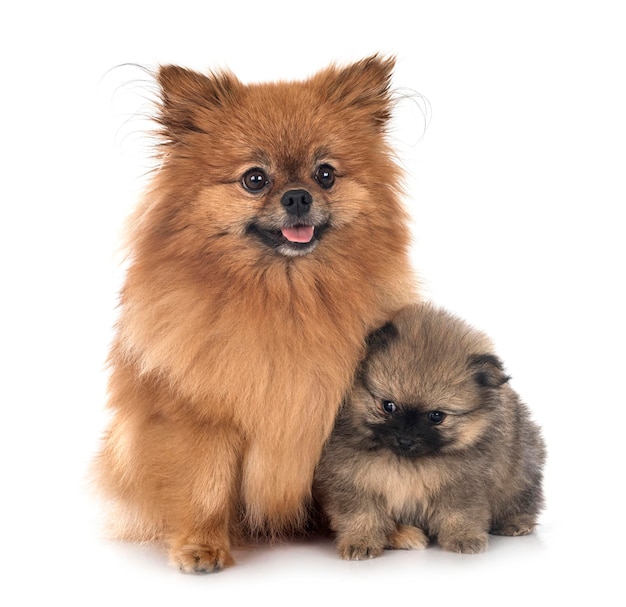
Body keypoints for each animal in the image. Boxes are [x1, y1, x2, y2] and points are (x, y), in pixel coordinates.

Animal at [95, 54, 416, 572]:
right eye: (254, 179)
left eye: (325, 174)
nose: (298, 196)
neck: (285, 299)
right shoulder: (201, 417)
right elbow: (206, 485)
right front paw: (202, 545)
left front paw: (381, 530)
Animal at [314, 304, 544, 560]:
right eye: (388, 406)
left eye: (436, 416)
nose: (405, 439)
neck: (406, 464)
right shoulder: (352, 482)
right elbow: (361, 515)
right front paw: (360, 541)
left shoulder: (463, 484)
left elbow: (459, 512)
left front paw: (464, 537)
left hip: (521, 470)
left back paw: (515, 523)